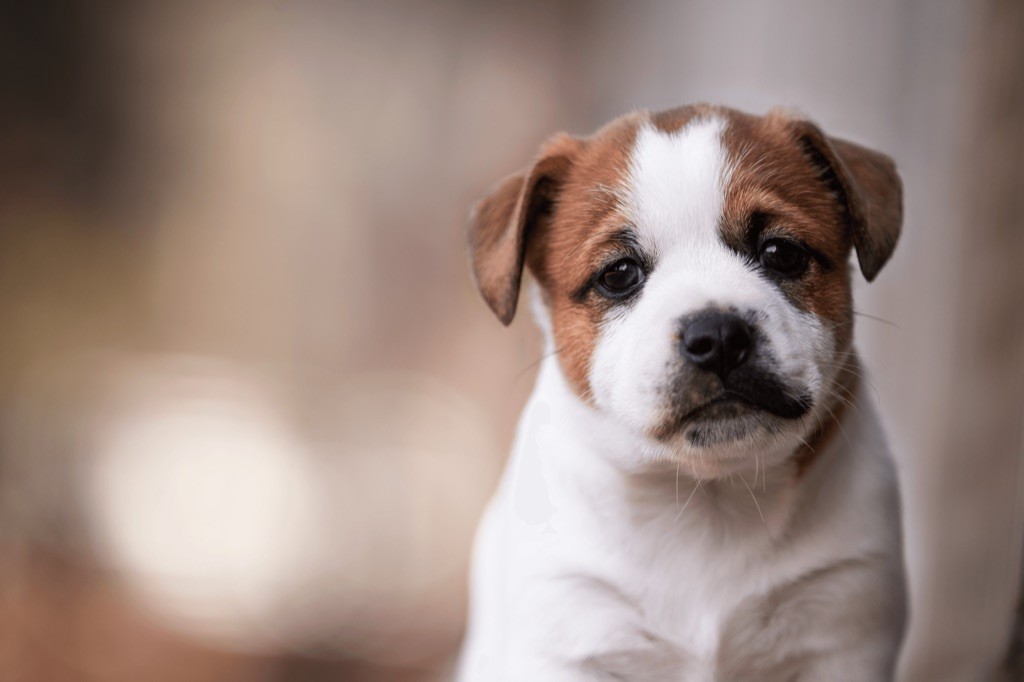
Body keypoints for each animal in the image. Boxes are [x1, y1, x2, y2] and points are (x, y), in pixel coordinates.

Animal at [460, 103, 909, 675]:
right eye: (619, 274)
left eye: (780, 252)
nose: (717, 338)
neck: (706, 500)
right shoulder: (569, 632)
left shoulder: (843, 624)